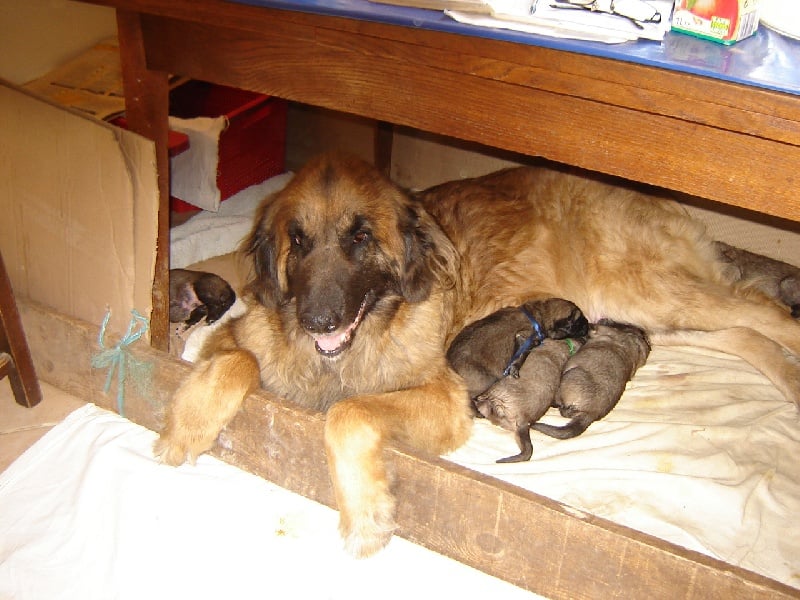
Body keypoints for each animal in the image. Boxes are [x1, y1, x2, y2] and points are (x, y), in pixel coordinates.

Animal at [446, 296, 592, 398]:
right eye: (579, 322)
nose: (588, 325)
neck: (540, 315)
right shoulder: (524, 338)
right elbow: (522, 355)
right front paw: (514, 369)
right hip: (484, 379)